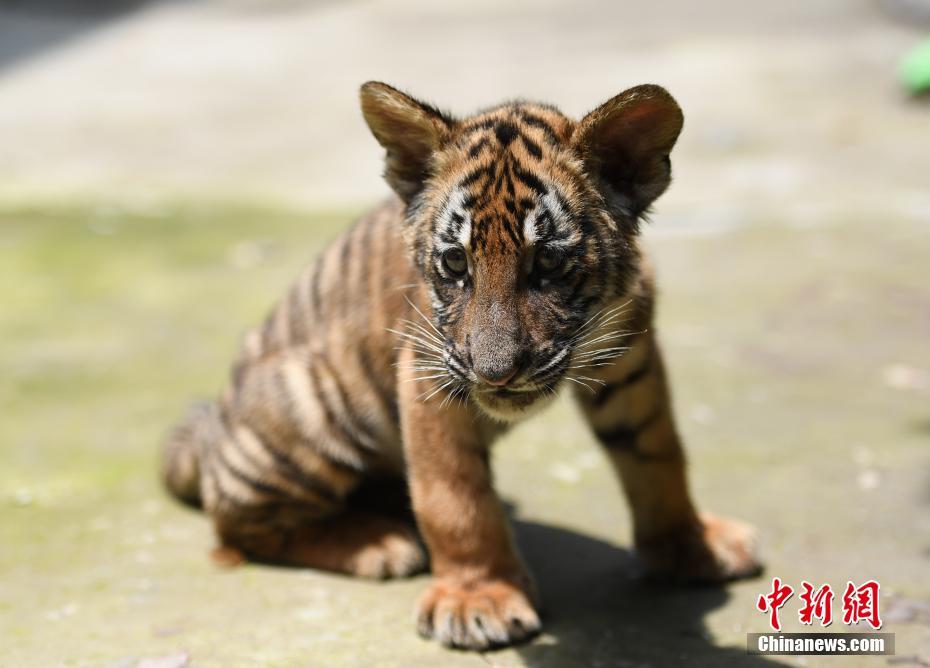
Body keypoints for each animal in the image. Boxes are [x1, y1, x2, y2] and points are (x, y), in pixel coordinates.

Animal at [161, 81, 763, 650]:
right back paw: (379, 544)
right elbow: (454, 496)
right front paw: (477, 600)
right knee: (234, 526)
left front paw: (691, 546)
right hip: (312, 405)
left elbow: (659, 454)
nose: (496, 373)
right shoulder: (428, 374)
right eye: (455, 262)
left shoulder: (631, 357)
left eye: (548, 263)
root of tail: (212, 427)